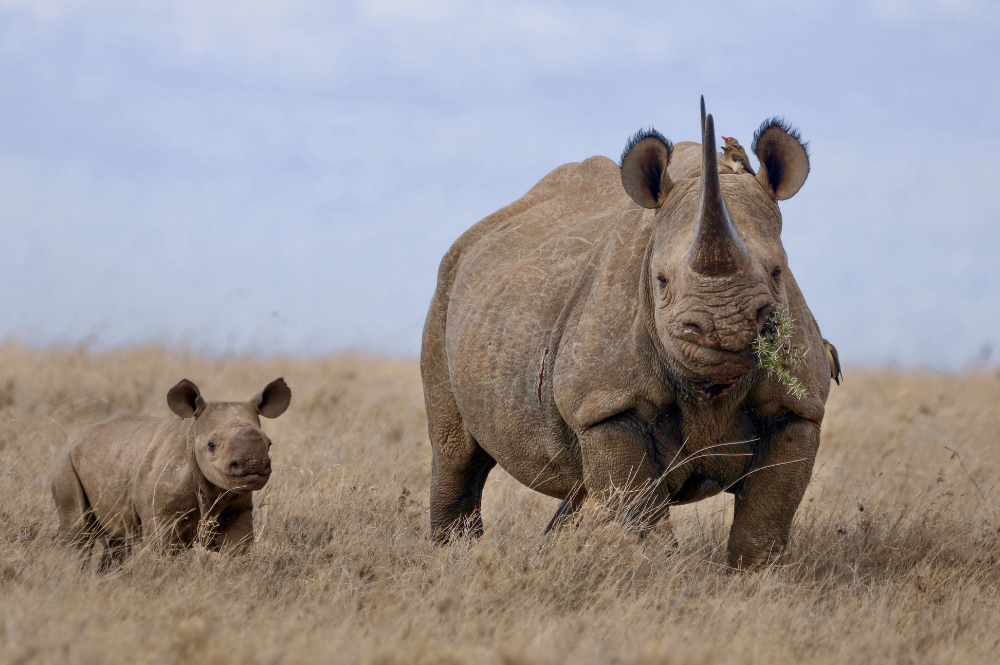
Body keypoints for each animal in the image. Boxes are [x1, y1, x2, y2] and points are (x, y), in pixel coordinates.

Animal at [52, 378, 290, 554]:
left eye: (269, 444)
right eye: (211, 445)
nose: (253, 464)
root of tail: (79, 437)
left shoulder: (237, 507)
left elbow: (237, 548)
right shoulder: (161, 515)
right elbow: (163, 551)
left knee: (117, 539)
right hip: (66, 462)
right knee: (78, 532)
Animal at [421, 98, 837, 567]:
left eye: (778, 272)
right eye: (661, 281)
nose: (723, 327)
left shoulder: (798, 406)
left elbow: (764, 521)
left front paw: (752, 577)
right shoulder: (610, 405)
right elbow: (640, 516)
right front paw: (662, 572)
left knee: (580, 483)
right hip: (446, 288)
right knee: (456, 453)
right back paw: (451, 558)